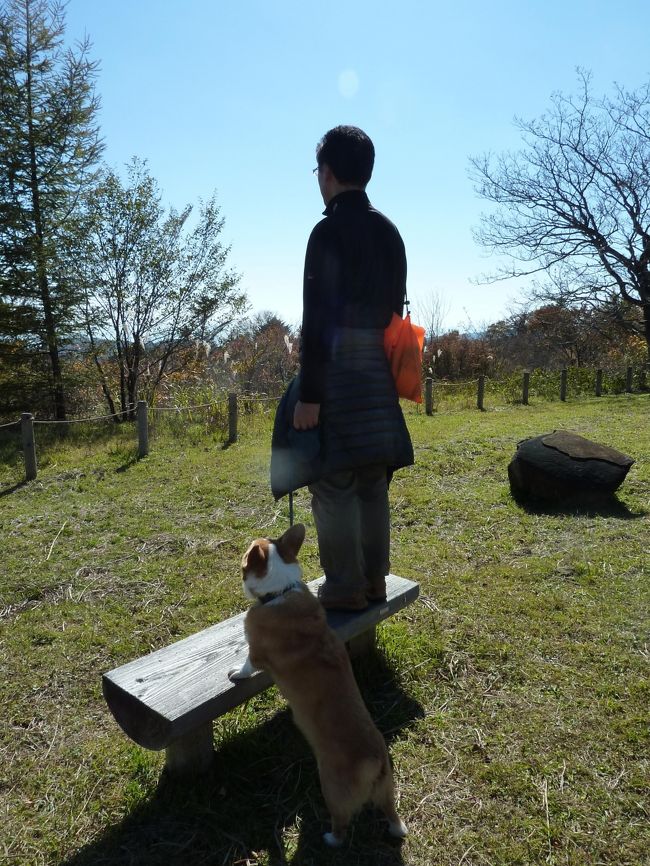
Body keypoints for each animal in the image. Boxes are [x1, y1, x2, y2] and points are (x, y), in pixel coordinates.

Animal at [228, 520, 404, 844]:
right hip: (387, 789)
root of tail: (375, 760)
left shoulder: (256, 653)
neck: (281, 590)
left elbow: (247, 664)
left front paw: (236, 673)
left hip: (332, 788)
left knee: (342, 823)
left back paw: (329, 839)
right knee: (392, 815)